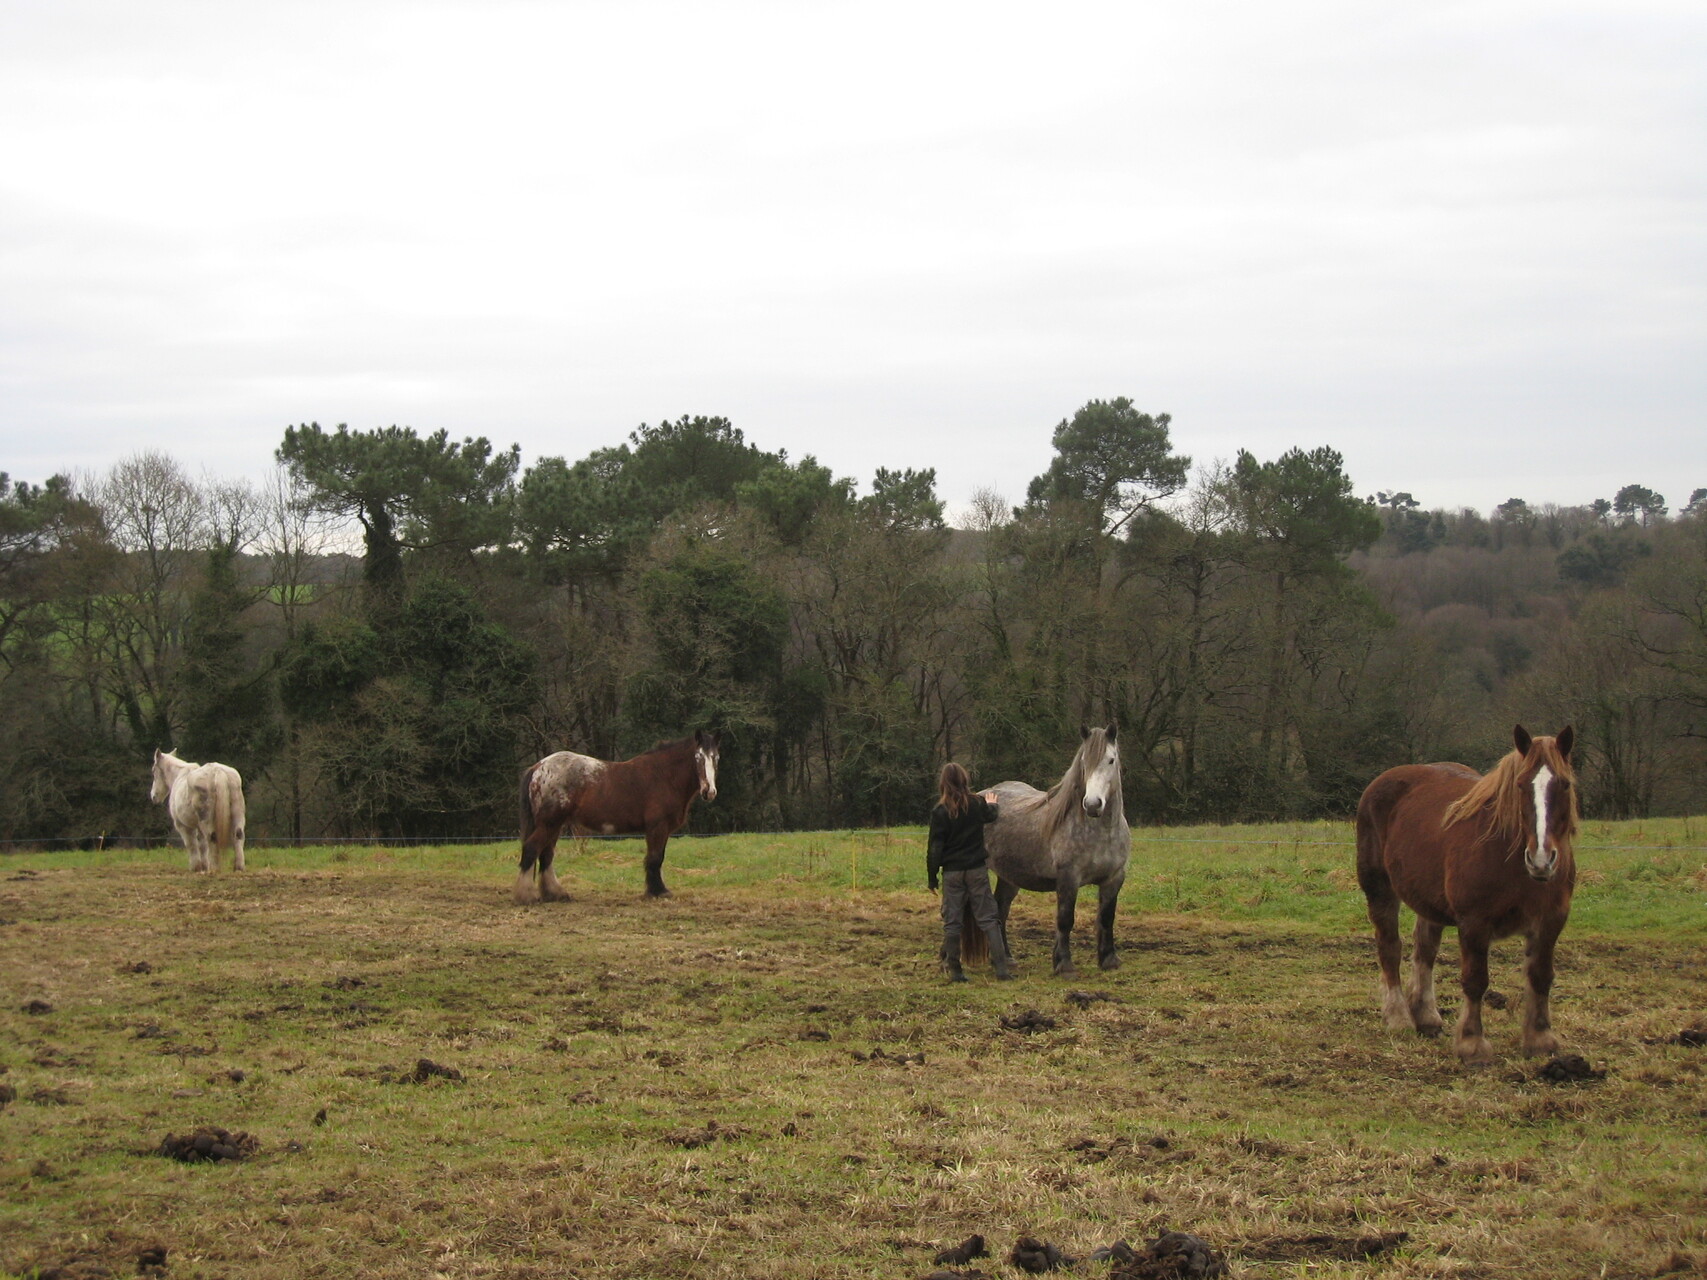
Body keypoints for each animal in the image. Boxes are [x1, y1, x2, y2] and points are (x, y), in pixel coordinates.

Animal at [514, 730, 720, 903]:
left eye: (716, 758)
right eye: (698, 757)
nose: (709, 791)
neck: (664, 776)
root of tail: (538, 767)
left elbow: (655, 858)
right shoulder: (657, 827)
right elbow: (655, 858)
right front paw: (658, 891)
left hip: (554, 826)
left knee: (546, 855)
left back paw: (555, 893)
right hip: (549, 824)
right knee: (532, 849)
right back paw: (527, 895)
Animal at [965, 724, 1131, 976]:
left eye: (1111, 760)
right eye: (1084, 761)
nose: (1093, 805)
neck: (1101, 832)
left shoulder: (1114, 878)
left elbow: (1106, 918)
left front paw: (1109, 959)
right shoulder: (1068, 878)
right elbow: (1065, 919)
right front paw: (1064, 964)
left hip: (1010, 877)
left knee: (1001, 909)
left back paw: (1006, 958)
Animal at [1354, 724, 1579, 1066]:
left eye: (1564, 784)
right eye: (1520, 784)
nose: (1541, 859)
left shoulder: (1551, 920)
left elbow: (1540, 976)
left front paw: (1540, 1039)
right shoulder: (1474, 922)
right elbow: (1475, 980)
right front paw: (1472, 1044)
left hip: (1428, 899)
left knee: (1425, 950)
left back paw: (1427, 1017)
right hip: (1379, 889)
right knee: (1390, 947)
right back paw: (1398, 1018)